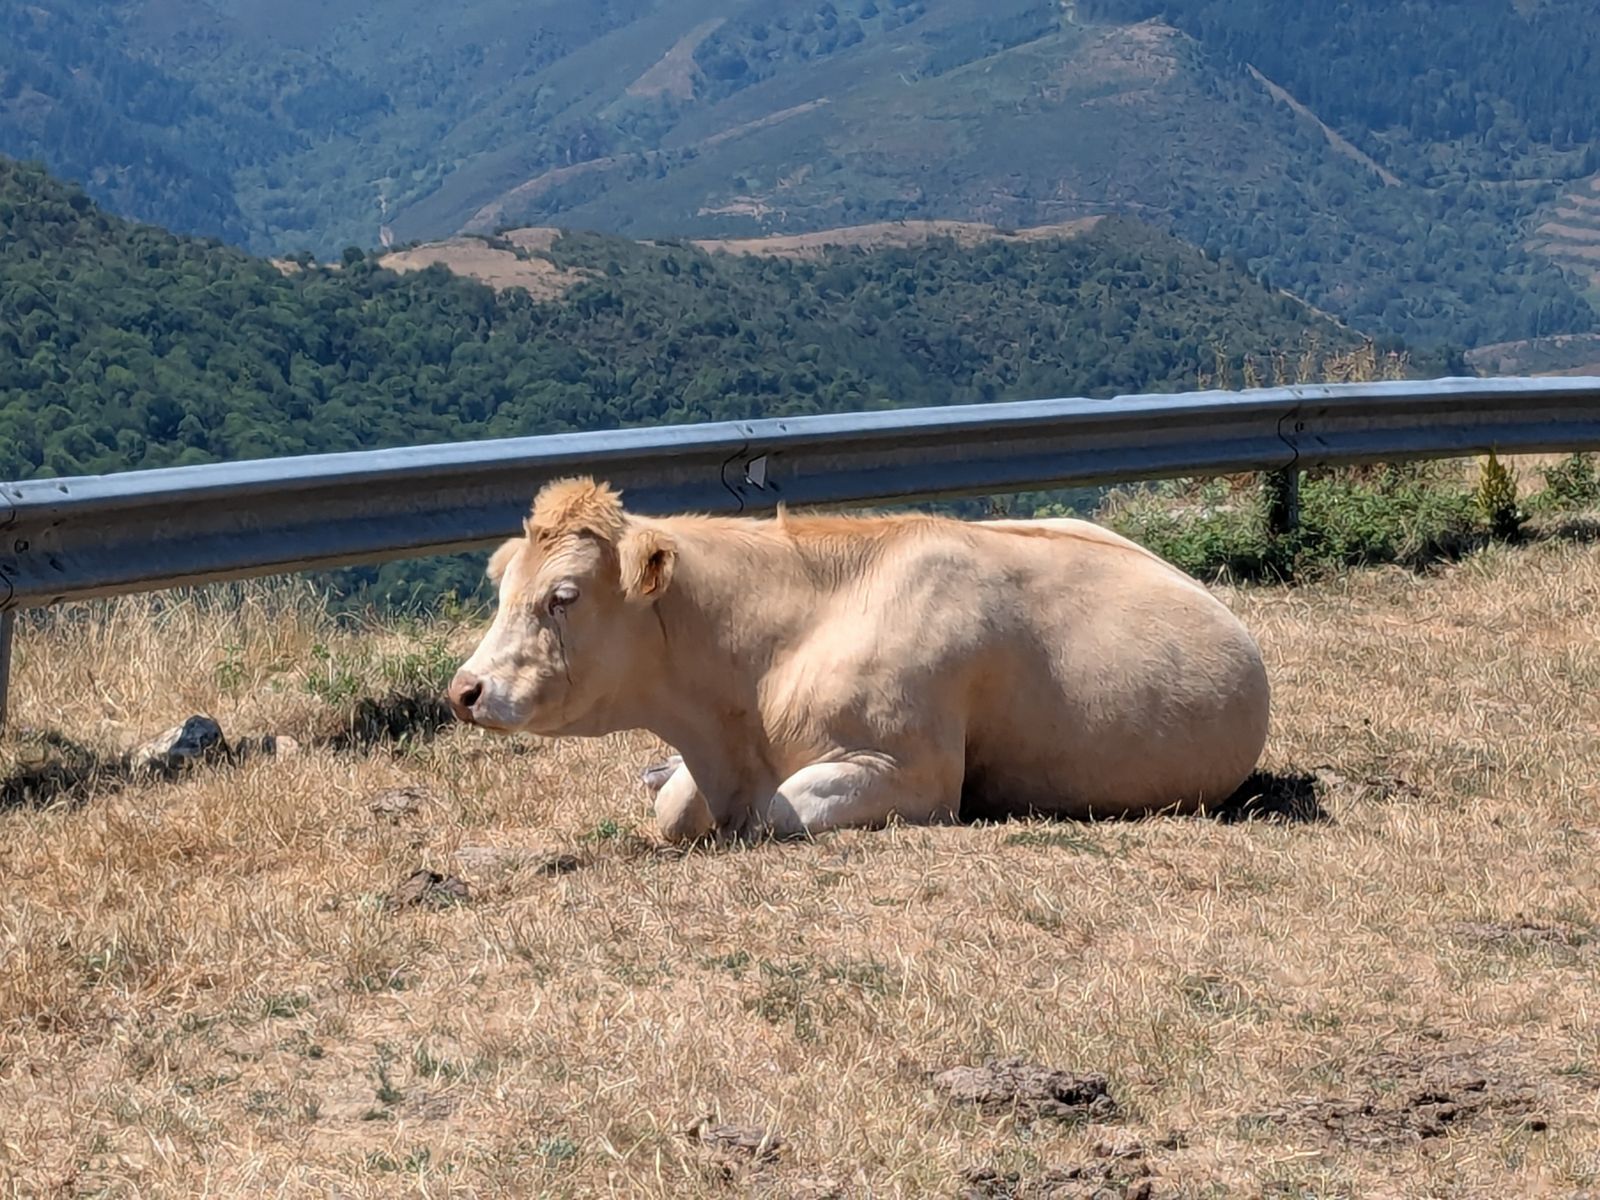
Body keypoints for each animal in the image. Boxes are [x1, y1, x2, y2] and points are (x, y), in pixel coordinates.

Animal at [447, 477, 1270, 842]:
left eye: (562, 596)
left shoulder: (915, 772)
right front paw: (665, 779)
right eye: (502, 585)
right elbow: (676, 806)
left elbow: (777, 813)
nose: (465, 690)